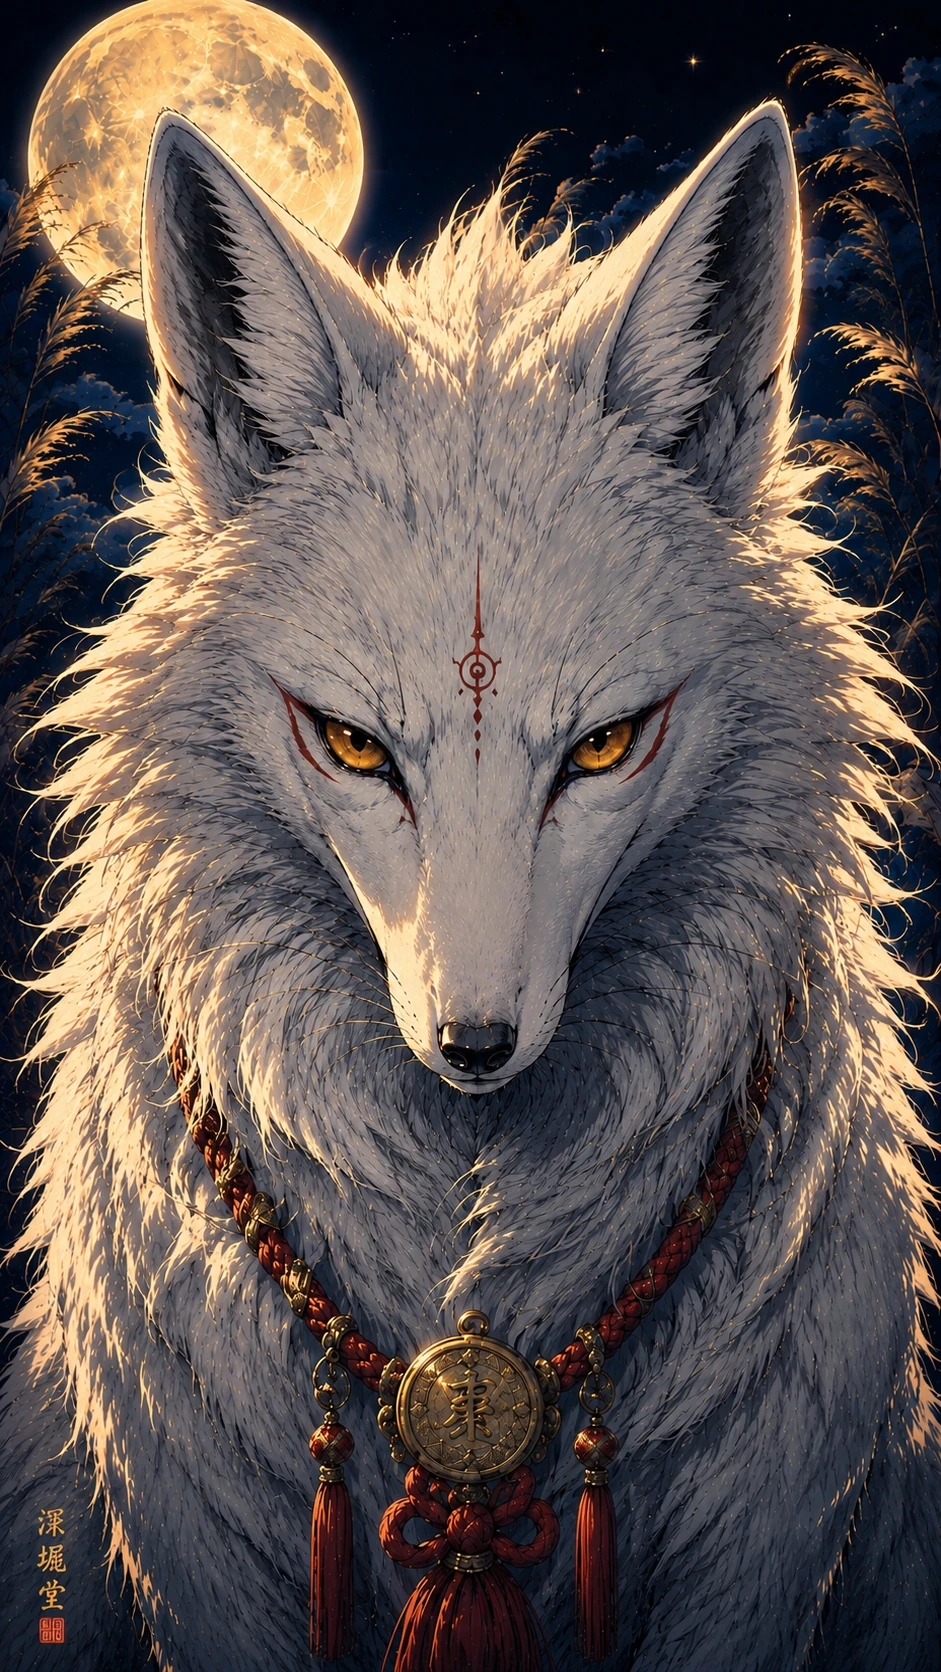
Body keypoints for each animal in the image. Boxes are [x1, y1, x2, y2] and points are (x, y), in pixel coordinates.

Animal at [1, 97, 939, 1672]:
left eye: (605, 744)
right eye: (352, 744)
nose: (475, 1044)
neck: (464, 1270)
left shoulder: (763, 1549)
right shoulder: (198, 1544)